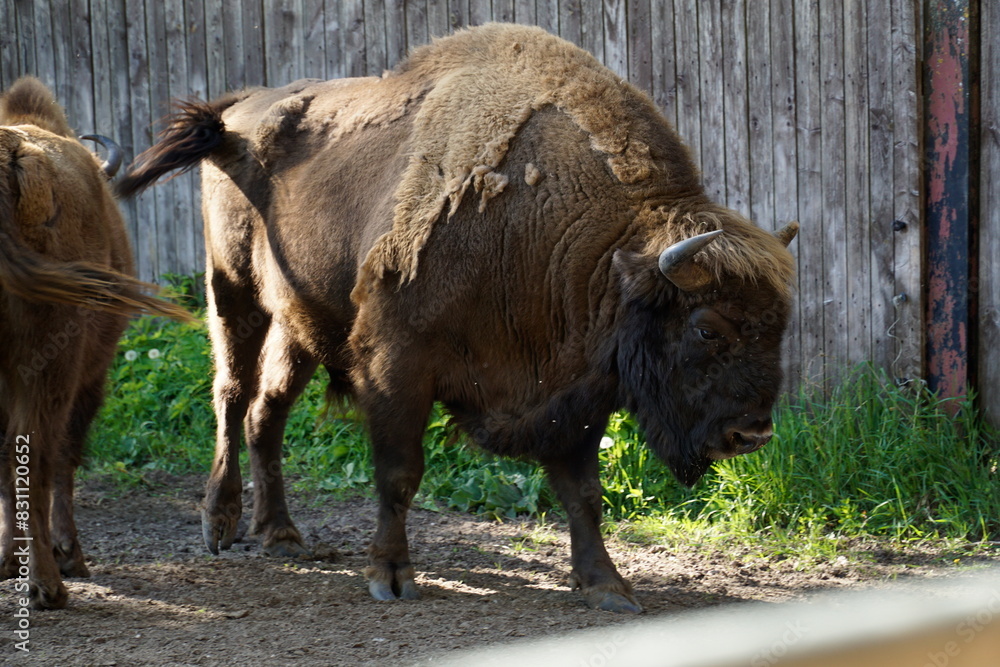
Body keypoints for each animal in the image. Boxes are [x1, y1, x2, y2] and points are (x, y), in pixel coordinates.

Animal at [0, 77, 191, 609]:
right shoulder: (89, 373)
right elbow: (64, 454)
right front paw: (68, 554)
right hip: (52, 365)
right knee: (36, 453)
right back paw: (49, 584)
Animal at [118, 24, 797, 612]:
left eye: (780, 327)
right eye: (706, 328)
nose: (754, 434)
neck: (593, 247)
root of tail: (238, 112)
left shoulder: (571, 389)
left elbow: (583, 492)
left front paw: (609, 587)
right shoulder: (397, 365)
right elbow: (399, 474)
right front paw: (391, 577)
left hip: (299, 325)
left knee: (269, 412)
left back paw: (282, 536)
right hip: (233, 292)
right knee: (232, 396)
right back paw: (220, 524)